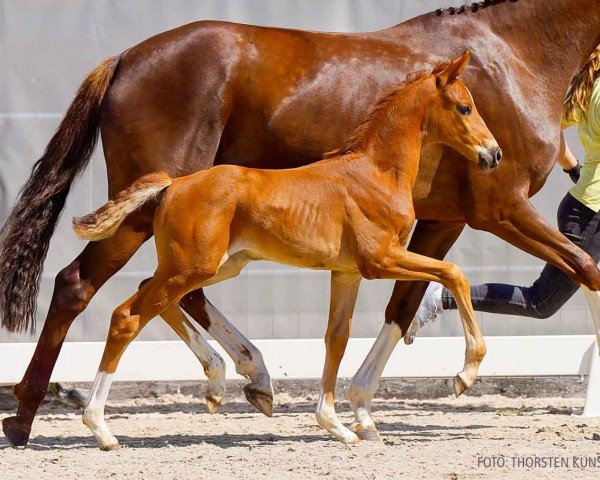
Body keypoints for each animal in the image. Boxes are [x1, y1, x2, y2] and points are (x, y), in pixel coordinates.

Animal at [74, 50, 496, 448]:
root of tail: (172, 185)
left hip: (214, 265)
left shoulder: (347, 272)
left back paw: (219, 384)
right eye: (465, 107)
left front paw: (337, 426)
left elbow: (336, 336)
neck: (374, 174)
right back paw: (101, 429)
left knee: (157, 297)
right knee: (128, 316)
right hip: (192, 267)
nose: (494, 154)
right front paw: (465, 374)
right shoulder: (379, 259)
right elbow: (454, 274)